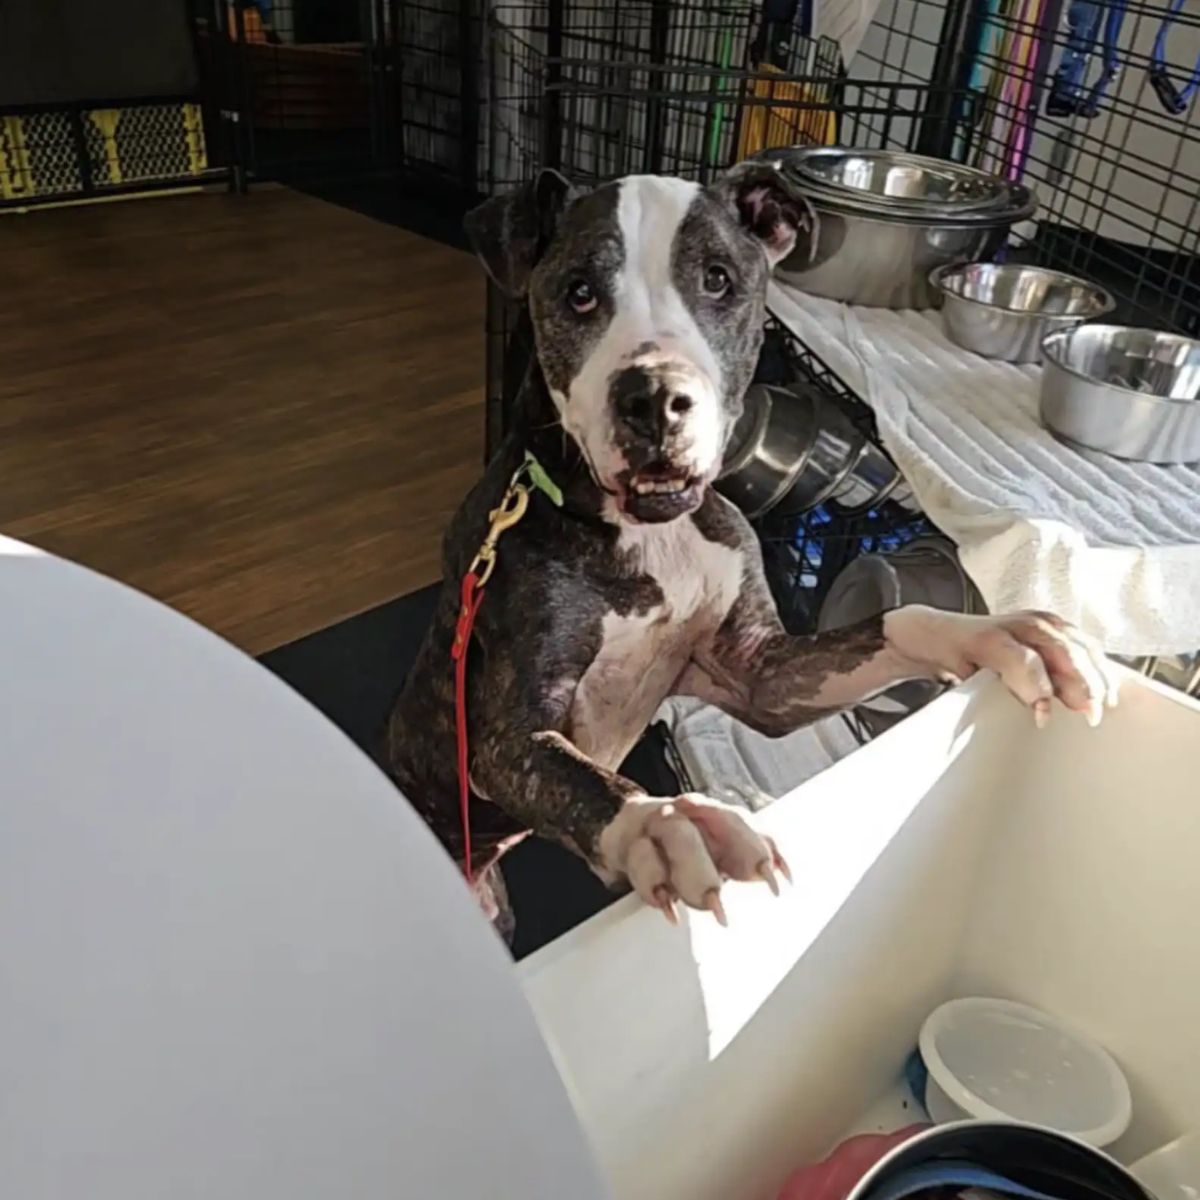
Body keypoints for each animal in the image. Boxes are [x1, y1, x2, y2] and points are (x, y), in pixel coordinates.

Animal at [386, 159, 1113, 936]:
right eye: (578, 292)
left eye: (717, 279)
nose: (653, 396)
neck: (654, 533)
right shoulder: (503, 737)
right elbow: (581, 775)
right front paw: (664, 821)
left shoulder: (761, 673)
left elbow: (898, 621)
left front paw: (1002, 635)